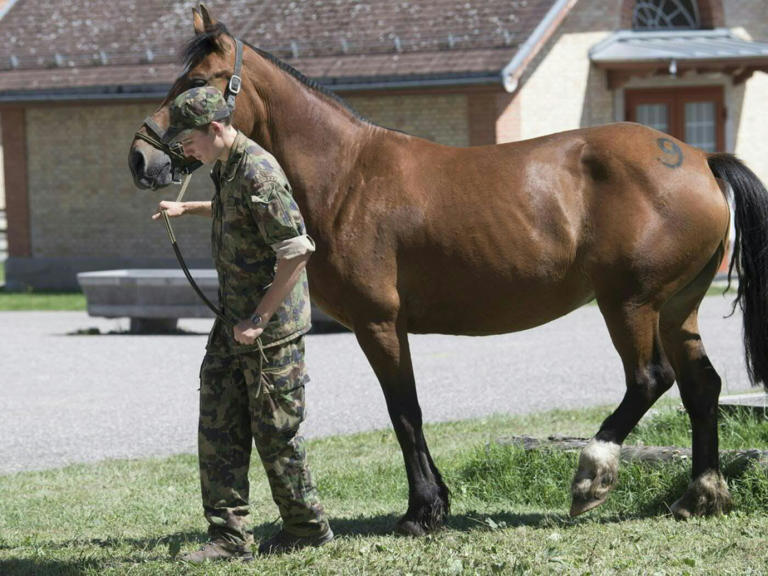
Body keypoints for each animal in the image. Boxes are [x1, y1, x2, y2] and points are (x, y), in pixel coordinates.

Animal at [129, 5, 768, 535]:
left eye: (196, 84)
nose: (141, 158)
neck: (348, 176)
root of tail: (700, 159)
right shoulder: (391, 326)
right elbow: (409, 410)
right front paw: (435, 502)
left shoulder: (378, 324)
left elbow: (404, 412)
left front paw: (422, 511)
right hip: (677, 308)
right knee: (701, 386)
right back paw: (700, 494)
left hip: (630, 304)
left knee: (649, 380)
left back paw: (592, 476)